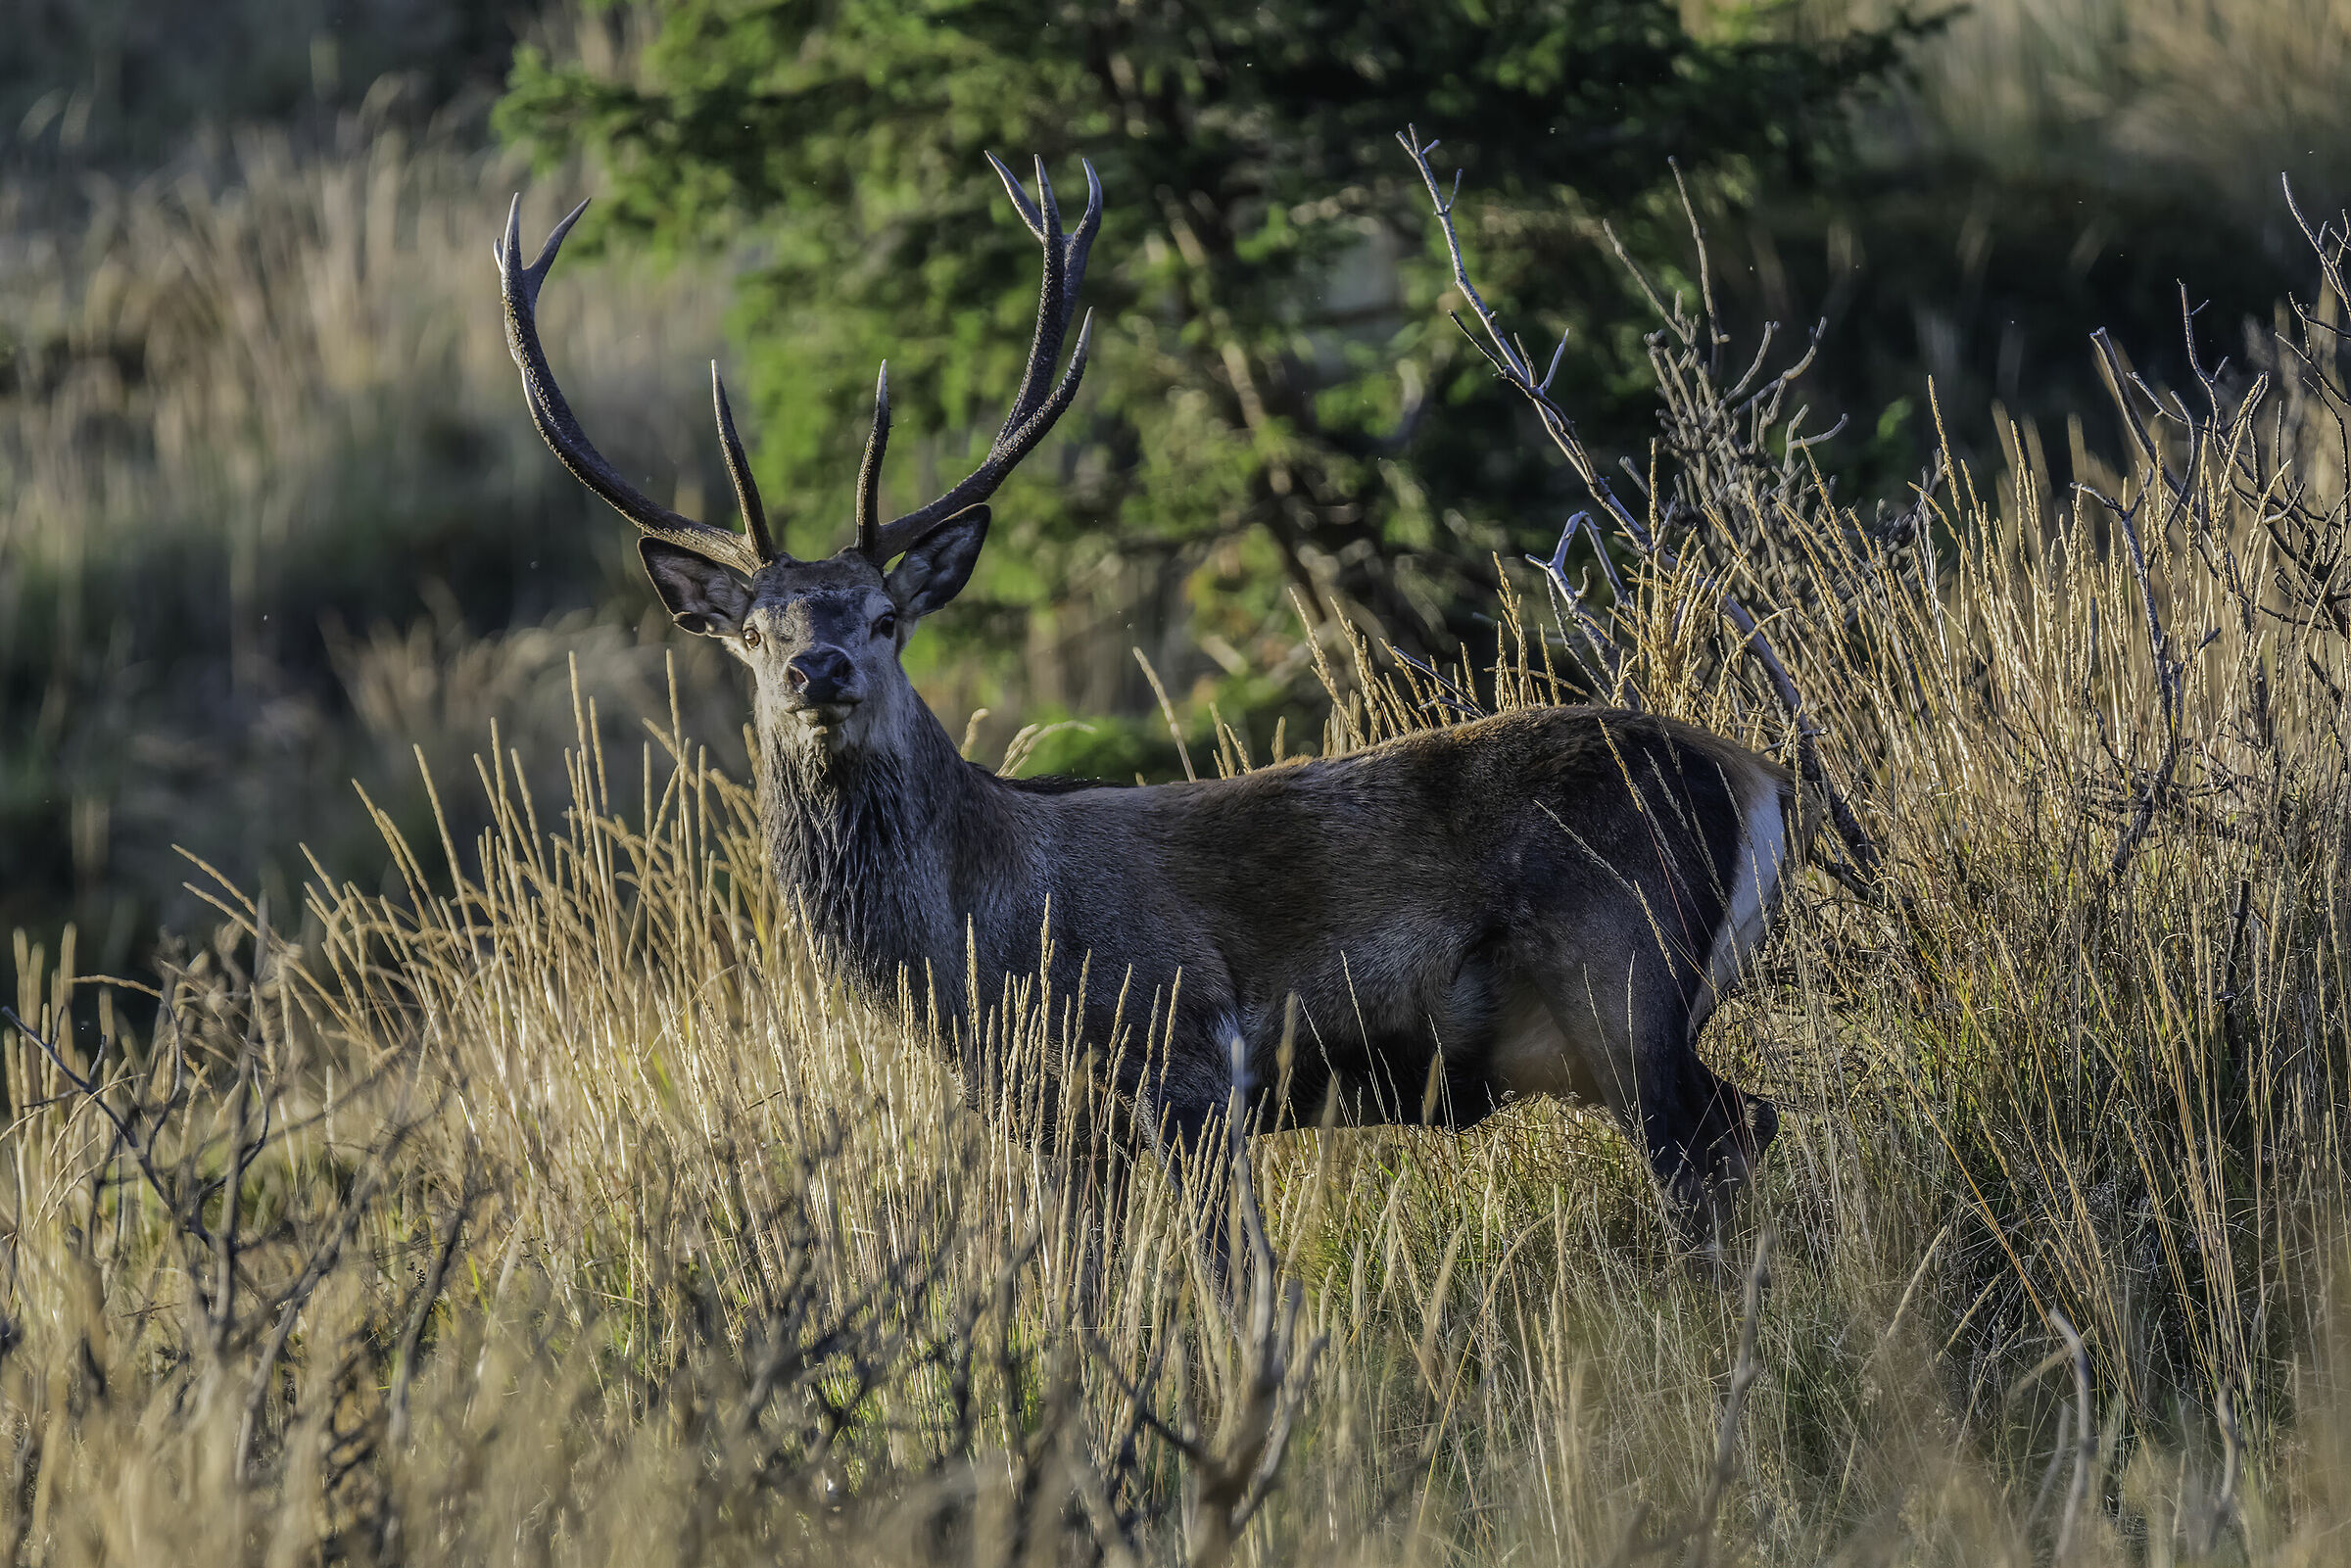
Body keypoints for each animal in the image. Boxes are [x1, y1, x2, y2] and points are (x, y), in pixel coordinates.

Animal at [493, 154, 1805, 1261]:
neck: (978, 953)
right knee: (1754, 1125)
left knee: (1724, 1145)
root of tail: (1757, 776)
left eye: (884, 614)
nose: (820, 669)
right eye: (758, 632)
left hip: (1621, 976)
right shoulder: (1046, 1122)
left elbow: (1235, 1284)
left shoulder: (1185, 1061)